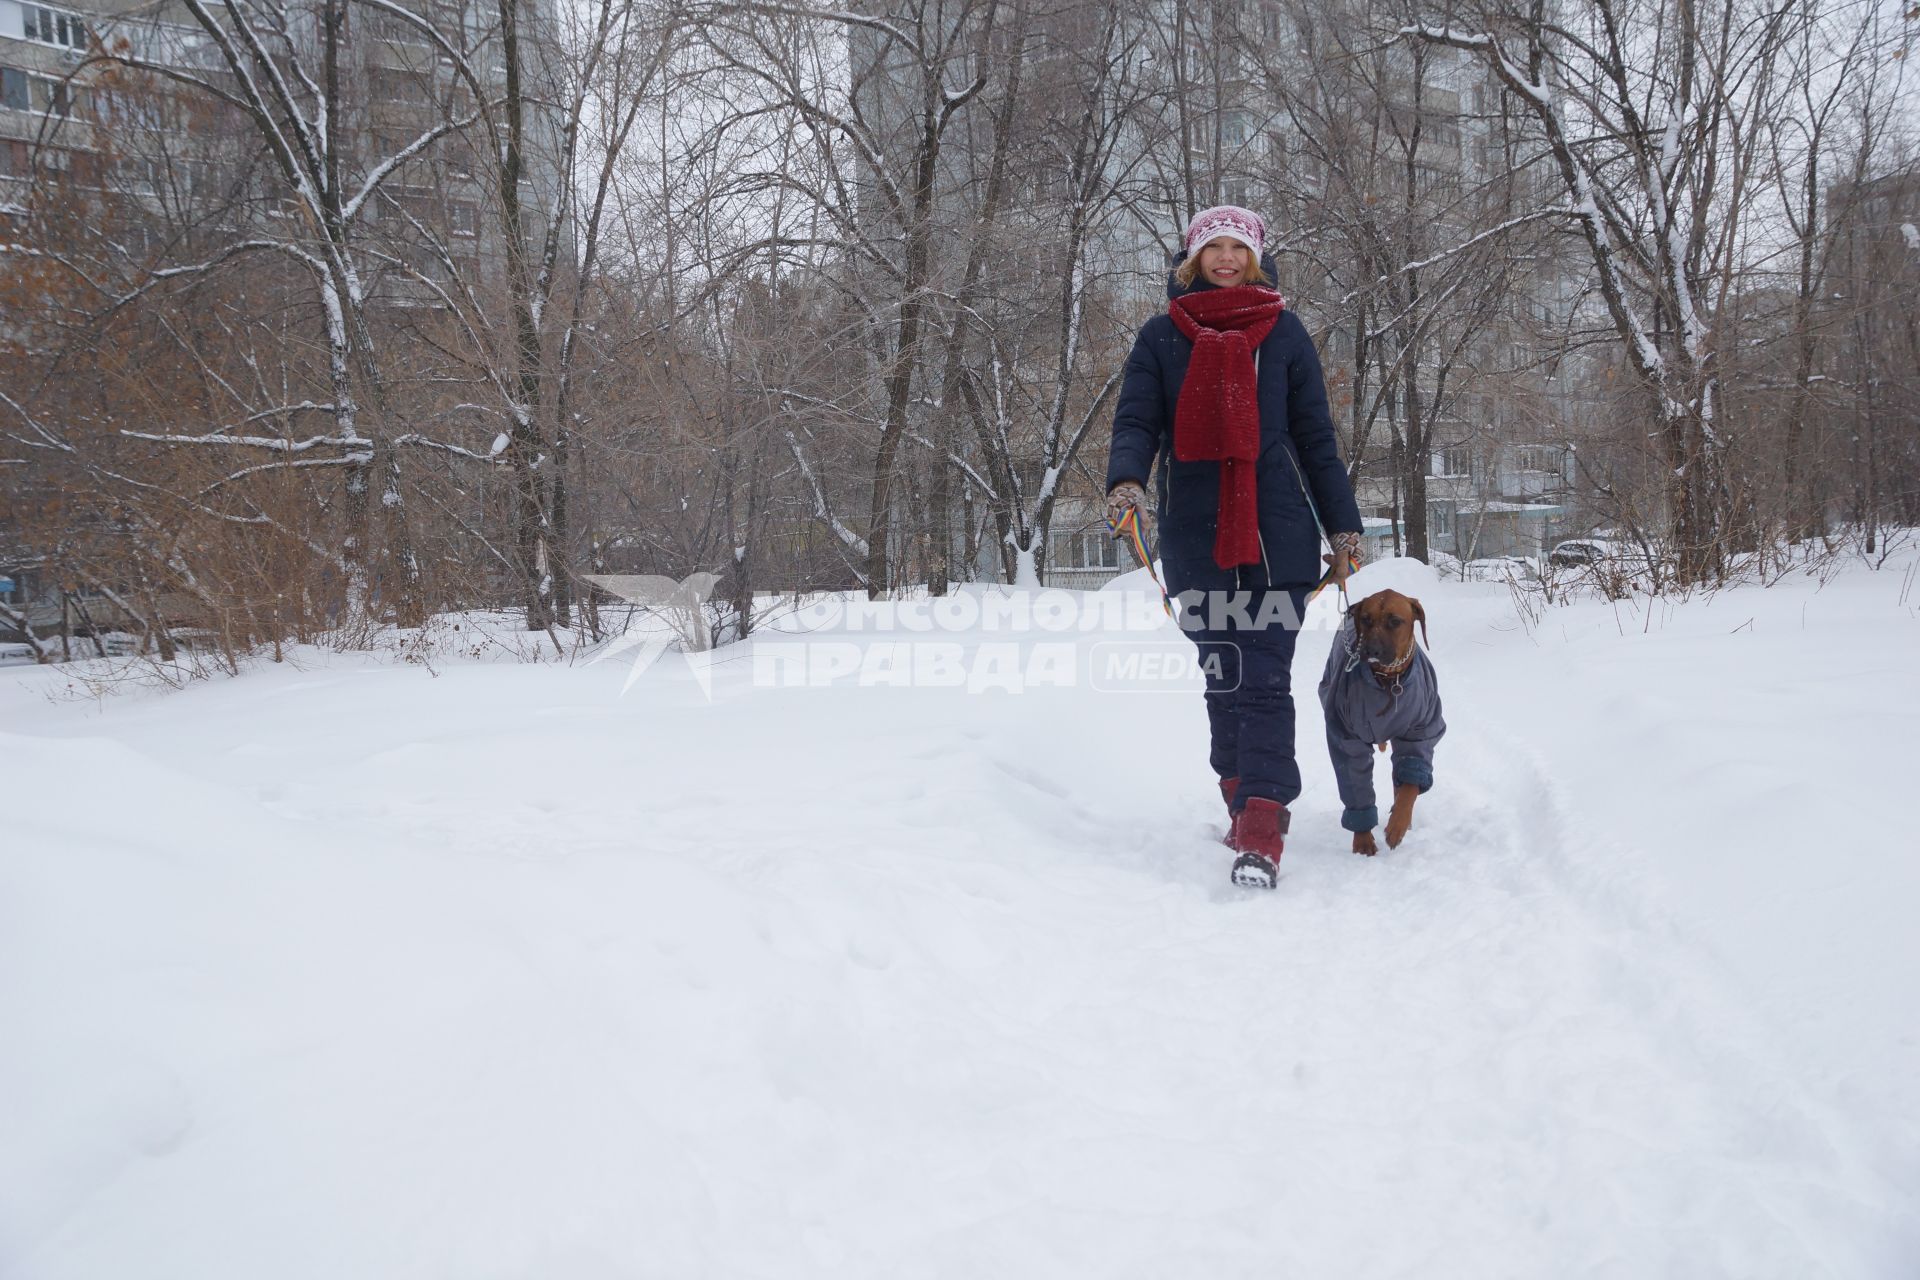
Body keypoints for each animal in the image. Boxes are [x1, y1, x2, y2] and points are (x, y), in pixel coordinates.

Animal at [1320, 594, 1443, 855]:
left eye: (1395, 621)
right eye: (1366, 619)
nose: (1370, 650)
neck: (1388, 679)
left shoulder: (1421, 729)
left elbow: (1410, 782)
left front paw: (1398, 824)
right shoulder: (1346, 735)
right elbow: (1355, 777)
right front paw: (1363, 841)